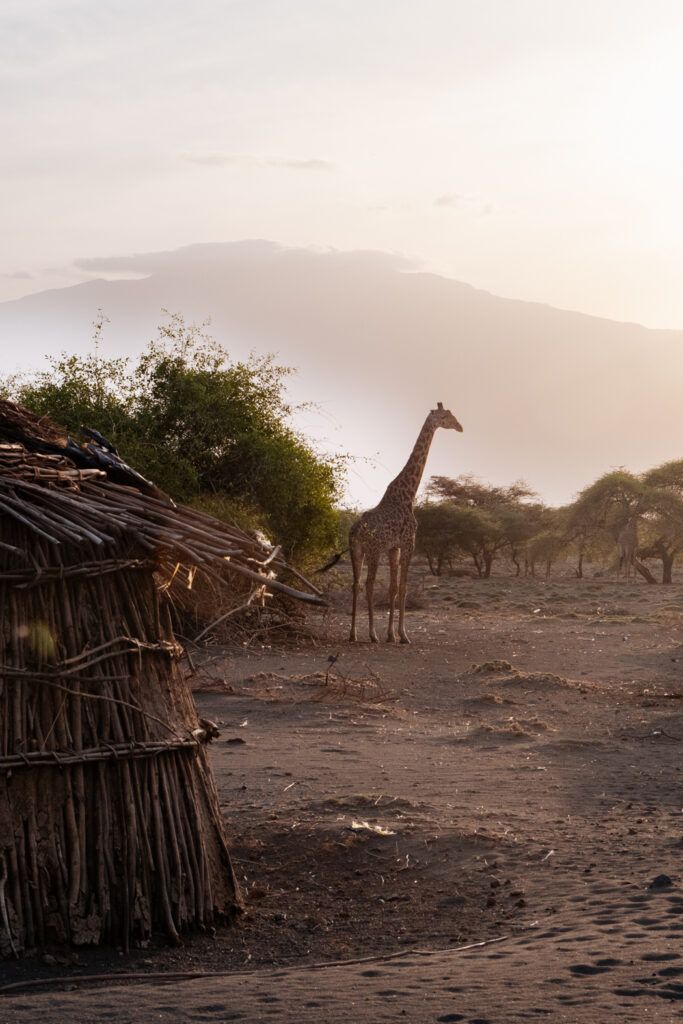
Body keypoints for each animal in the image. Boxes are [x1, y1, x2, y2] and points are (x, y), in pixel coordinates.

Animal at [349, 403, 463, 644]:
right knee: (368, 585)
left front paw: (391, 634)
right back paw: (371, 634)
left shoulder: (394, 548)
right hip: (373, 551)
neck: (408, 494)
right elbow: (403, 588)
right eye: (446, 417)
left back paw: (353, 633)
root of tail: (355, 531)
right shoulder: (409, 543)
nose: (460, 426)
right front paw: (403, 635)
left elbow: (393, 588)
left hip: (357, 551)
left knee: (355, 585)